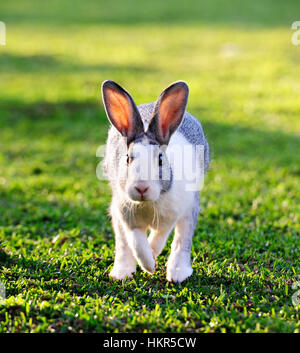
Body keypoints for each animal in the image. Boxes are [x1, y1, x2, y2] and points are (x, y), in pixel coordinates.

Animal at [101, 80, 209, 284]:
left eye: (160, 159)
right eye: (128, 158)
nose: (141, 188)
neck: (148, 203)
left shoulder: (173, 214)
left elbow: (161, 236)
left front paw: (153, 254)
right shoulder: (127, 217)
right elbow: (137, 243)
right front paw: (148, 264)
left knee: (182, 239)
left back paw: (178, 273)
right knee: (123, 243)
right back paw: (121, 272)